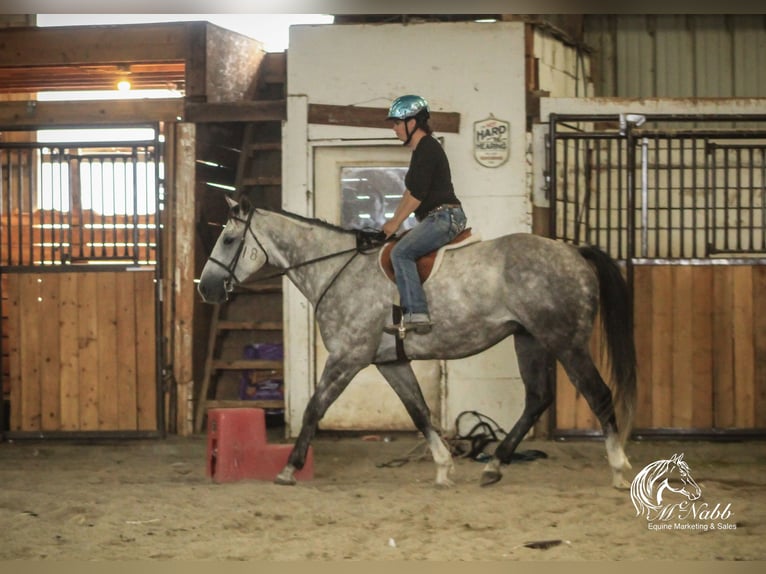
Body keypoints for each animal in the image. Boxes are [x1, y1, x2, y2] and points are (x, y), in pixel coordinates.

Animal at [198, 199, 636, 490]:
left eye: (229, 240)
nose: (206, 289)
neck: (337, 268)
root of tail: (572, 250)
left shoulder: (347, 357)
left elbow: (314, 409)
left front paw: (290, 468)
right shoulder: (389, 362)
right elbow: (419, 411)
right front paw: (444, 467)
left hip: (566, 342)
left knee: (598, 394)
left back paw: (619, 468)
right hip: (528, 339)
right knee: (537, 399)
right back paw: (494, 466)